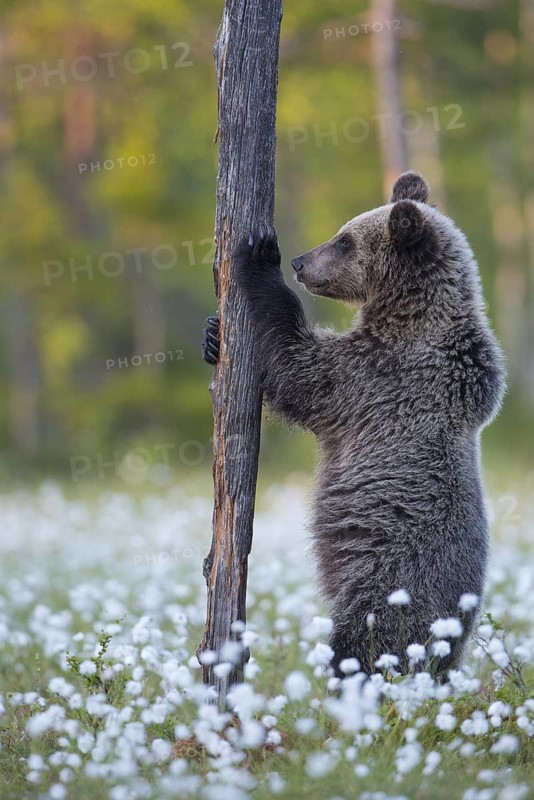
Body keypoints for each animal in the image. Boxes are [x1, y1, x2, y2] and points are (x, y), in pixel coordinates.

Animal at [202, 172, 506, 679]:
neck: (407, 316)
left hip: (388, 583)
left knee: (362, 646)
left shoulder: (379, 375)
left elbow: (299, 370)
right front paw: (211, 336)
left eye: (345, 240)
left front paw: (260, 258)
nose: (301, 262)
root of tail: (449, 640)